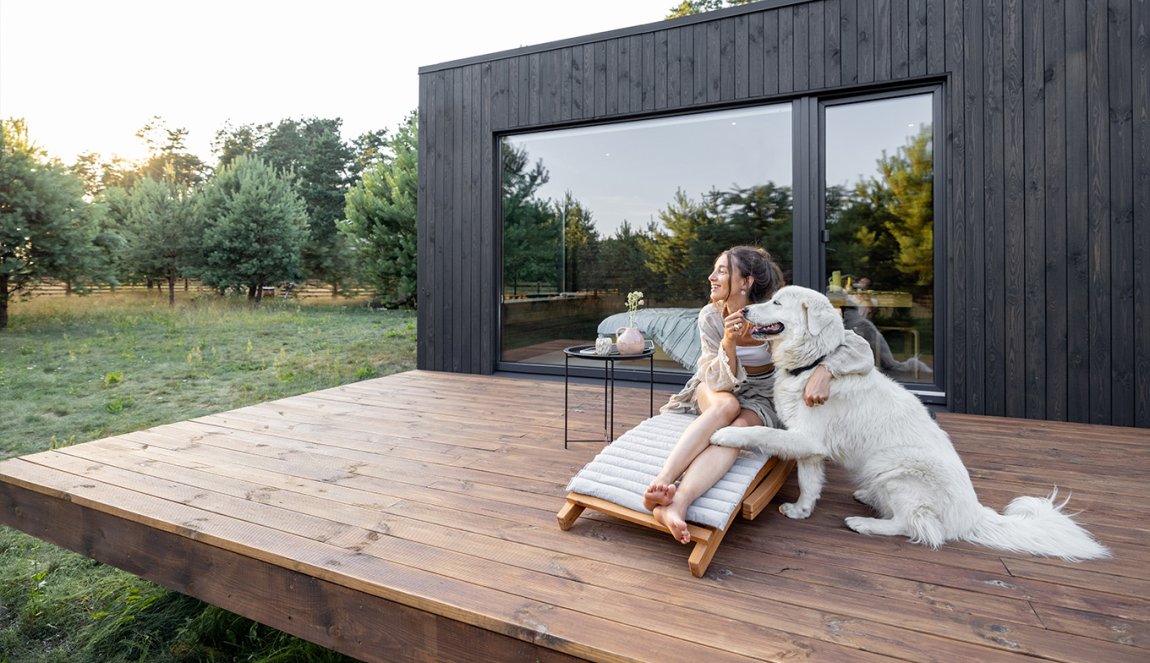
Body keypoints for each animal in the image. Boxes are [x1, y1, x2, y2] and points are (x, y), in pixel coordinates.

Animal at [713, 284, 1108, 558]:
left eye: (777, 303)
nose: (745, 308)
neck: (813, 363)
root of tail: (973, 514)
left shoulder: (807, 439)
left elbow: (760, 432)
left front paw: (725, 434)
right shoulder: (811, 447)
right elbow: (809, 483)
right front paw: (801, 511)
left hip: (897, 470)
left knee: (917, 526)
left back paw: (864, 523)